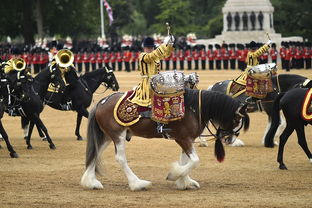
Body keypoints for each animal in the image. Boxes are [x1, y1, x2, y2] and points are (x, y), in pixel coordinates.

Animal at [81, 71, 250, 190]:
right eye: (237, 119)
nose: (229, 139)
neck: (193, 108)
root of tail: (102, 102)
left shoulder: (185, 139)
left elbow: (186, 160)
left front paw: (185, 182)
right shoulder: (184, 139)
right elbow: (194, 161)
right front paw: (174, 175)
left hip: (107, 137)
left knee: (95, 153)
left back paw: (91, 182)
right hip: (118, 136)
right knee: (120, 159)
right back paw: (137, 183)